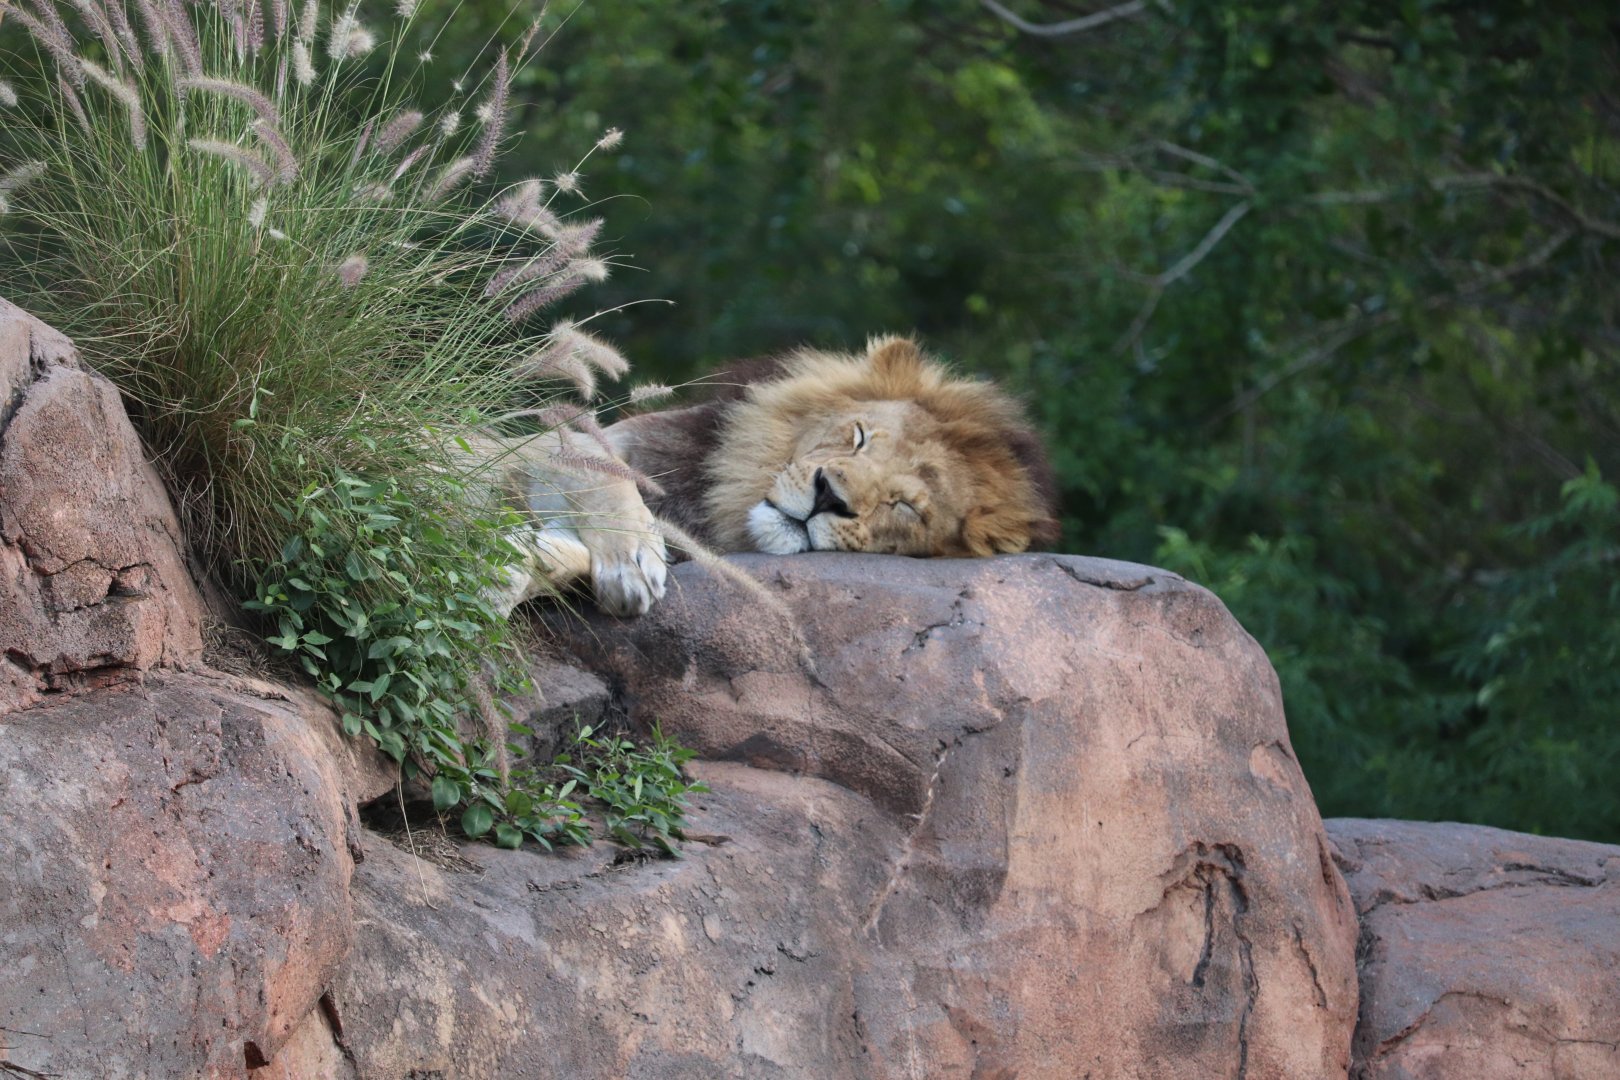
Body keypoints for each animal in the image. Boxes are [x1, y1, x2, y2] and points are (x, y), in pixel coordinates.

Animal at [486, 335, 1058, 617]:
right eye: (859, 436)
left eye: (905, 506)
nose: (828, 494)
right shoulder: (557, 446)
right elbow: (601, 476)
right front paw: (630, 562)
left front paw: (517, 564)